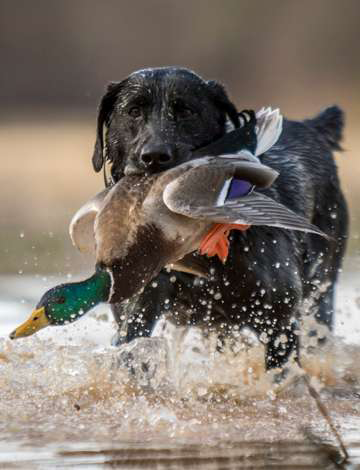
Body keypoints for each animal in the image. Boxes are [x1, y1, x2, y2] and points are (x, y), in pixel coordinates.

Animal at [91, 66, 348, 370]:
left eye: (186, 111)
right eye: (133, 111)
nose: (154, 156)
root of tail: (313, 127)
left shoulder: (279, 317)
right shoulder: (137, 308)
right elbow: (132, 350)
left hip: (321, 290)